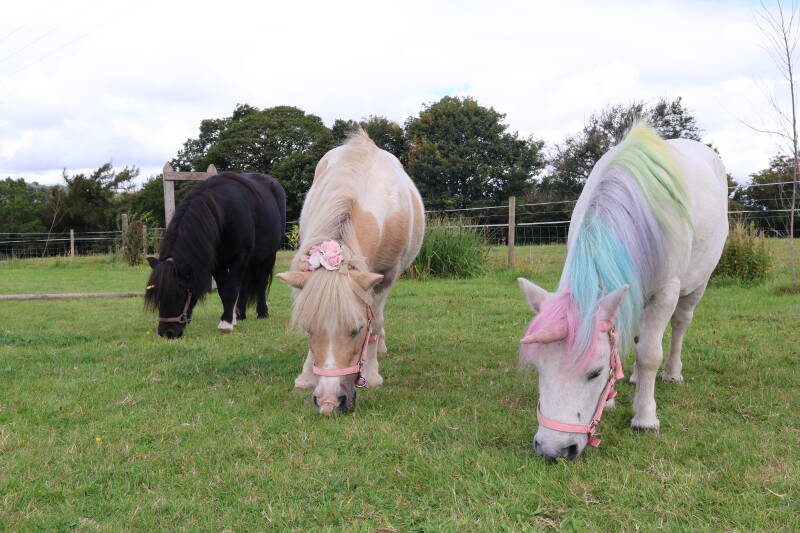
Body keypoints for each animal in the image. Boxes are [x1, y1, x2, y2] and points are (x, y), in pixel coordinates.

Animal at [145, 172, 286, 338]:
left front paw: (226, 324)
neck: (224, 214)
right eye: (158, 294)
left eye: (180, 293)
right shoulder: (217, 264)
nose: (167, 332)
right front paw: (231, 318)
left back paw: (262, 312)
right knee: (245, 284)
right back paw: (240, 314)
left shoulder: (240, 256)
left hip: (268, 255)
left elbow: (231, 290)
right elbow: (223, 290)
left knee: (261, 282)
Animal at [276, 130, 425, 416]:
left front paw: (373, 375)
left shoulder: (385, 277)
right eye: (308, 330)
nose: (328, 403)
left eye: (357, 330)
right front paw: (306, 376)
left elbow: (375, 322)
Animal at [517, 123, 728, 461]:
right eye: (538, 369)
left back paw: (672, 373)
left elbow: (650, 354)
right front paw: (612, 397)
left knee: (680, 324)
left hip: (698, 283)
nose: (553, 450)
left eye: (595, 372)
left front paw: (645, 417)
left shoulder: (666, 292)